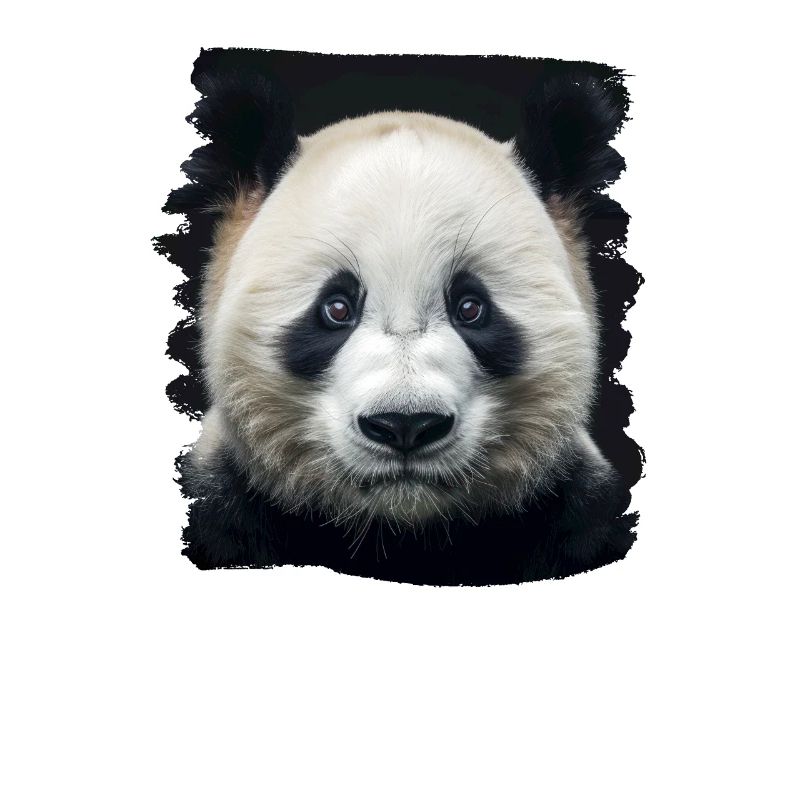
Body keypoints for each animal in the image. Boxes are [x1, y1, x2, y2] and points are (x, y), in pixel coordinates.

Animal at [166, 70, 638, 584]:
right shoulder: (225, 502)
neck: (401, 533)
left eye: (471, 308)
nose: (406, 425)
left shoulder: (576, 509)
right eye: (336, 308)